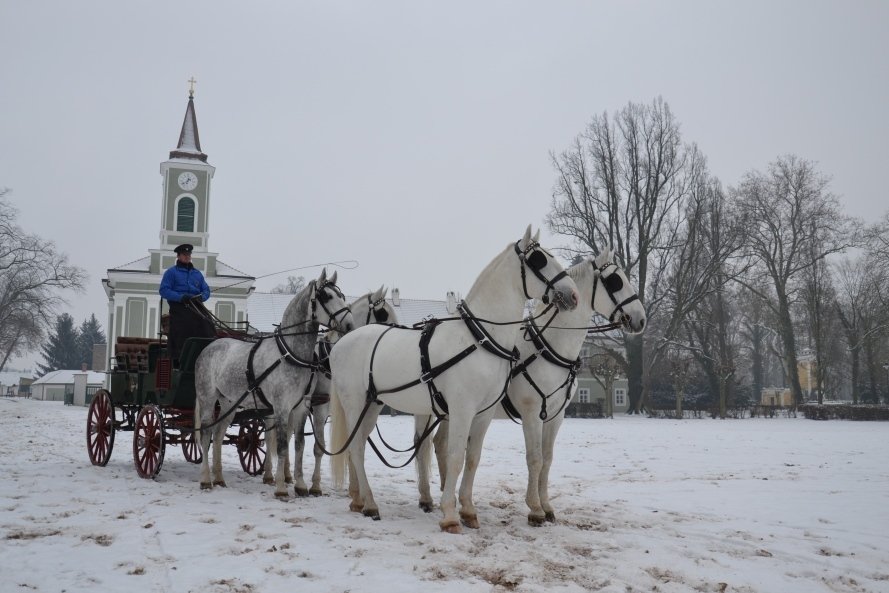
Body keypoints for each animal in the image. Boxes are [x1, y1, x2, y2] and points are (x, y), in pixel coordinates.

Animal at [264, 286, 398, 494]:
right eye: (383, 314)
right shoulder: (320, 406)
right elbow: (320, 447)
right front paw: (316, 485)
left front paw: (353, 488)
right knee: (269, 435)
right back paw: (270, 474)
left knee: (287, 435)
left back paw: (286, 475)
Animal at [330, 227, 580, 532]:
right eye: (539, 259)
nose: (573, 295)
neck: (481, 337)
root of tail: (340, 344)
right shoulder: (462, 409)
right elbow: (455, 456)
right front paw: (450, 515)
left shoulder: (483, 413)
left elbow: (472, 458)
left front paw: (469, 511)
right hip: (354, 404)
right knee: (355, 448)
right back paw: (370, 505)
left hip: (373, 405)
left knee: (360, 445)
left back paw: (361, 501)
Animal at [416, 249, 644, 524]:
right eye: (615, 281)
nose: (640, 319)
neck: (547, 347)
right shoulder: (531, 412)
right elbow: (534, 459)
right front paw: (535, 509)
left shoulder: (556, 416)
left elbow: (547, 460)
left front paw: (547, 506)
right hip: (430, 410)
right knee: (422, 446)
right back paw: (427, 498)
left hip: (452, 410)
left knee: (439, 444)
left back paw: (444, 491)